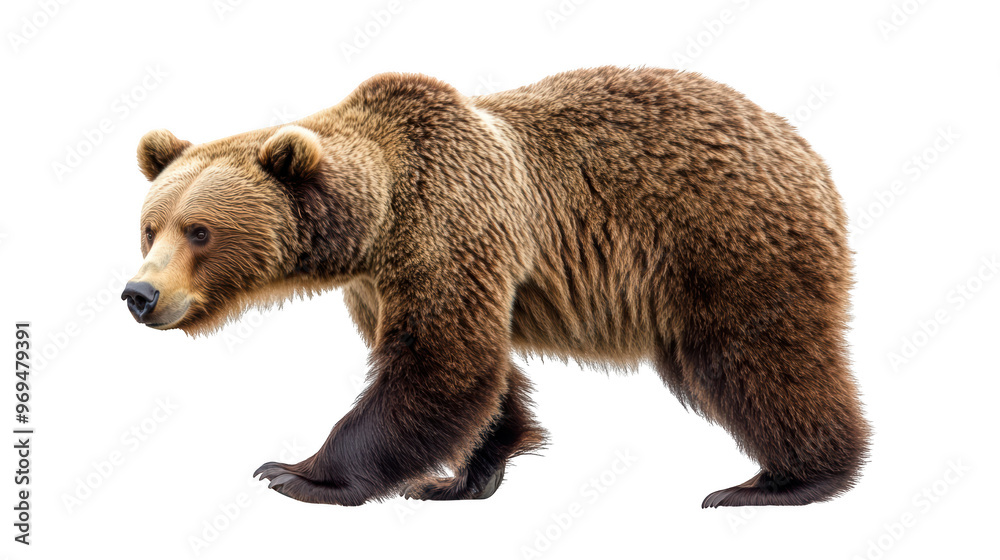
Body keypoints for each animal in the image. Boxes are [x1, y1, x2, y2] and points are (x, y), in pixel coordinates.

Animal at [122, 66, 870, 508]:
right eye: (150, 227)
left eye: (199, 231)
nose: (139, 295)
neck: (377, 224)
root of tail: (803, 146)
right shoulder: (384, 284)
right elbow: (477, 371)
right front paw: (461, 476)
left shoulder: (450, 226)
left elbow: (440, 365)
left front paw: (295, 472)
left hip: (724, 239)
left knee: (756, 358)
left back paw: (784, 481)